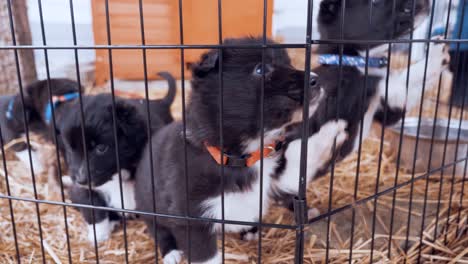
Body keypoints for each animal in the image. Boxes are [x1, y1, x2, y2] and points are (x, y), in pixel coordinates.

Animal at [274, 0, 450, 210]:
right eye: (375, 3)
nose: (425, 3)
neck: (357, 61)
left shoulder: (390, 106)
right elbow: (411, 75)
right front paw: (436, 53)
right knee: (294, 164)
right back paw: (328, 139)